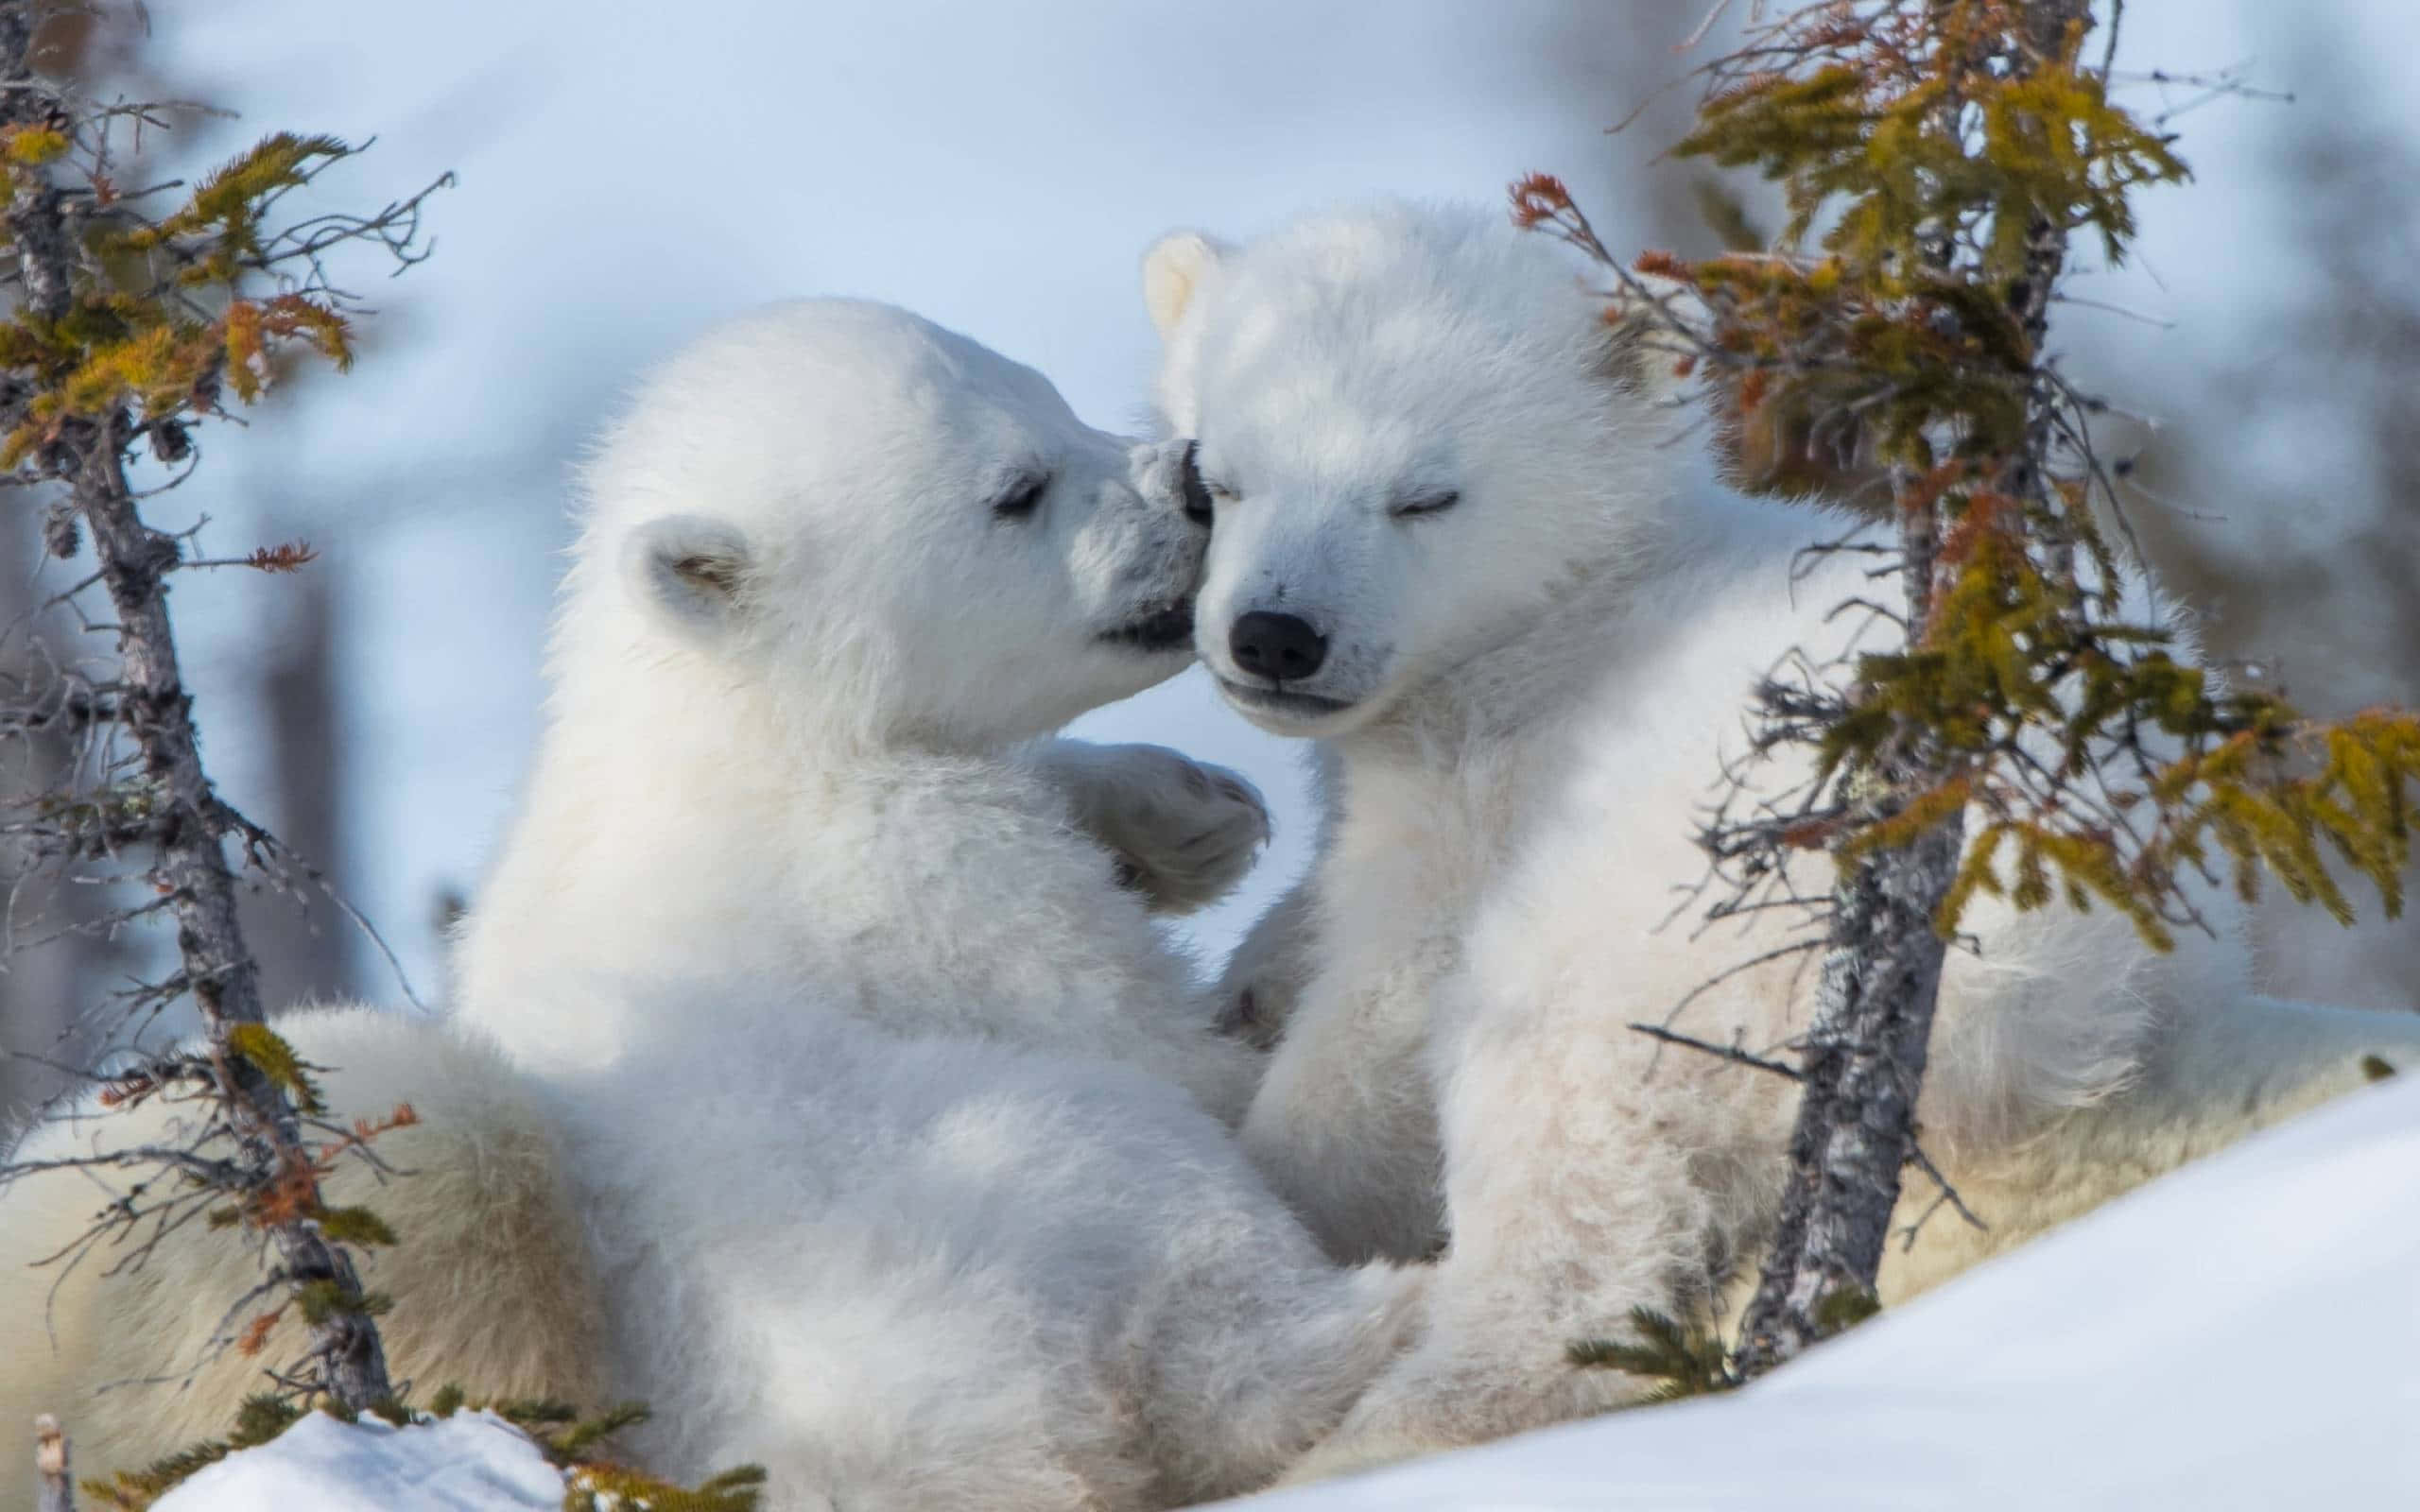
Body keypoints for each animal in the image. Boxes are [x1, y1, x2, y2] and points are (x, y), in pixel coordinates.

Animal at [0, 298, 1419, 1511]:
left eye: (1050, 394)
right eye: (1016, 489)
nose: (1189, 479)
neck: (736, 729)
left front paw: (1190, 809)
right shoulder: (914, 872)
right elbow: (1166, 1047)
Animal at [1138, 201, 2420, 1475]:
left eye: (1425, 496)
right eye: (1219, 477)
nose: (1274, 635)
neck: (1567, 621)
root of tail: (2052, 955)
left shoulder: (1491, 782)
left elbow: (1386, 1013)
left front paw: (1273, 1165)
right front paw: (1256, 970)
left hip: (1697, 934)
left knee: (1564, 1152)